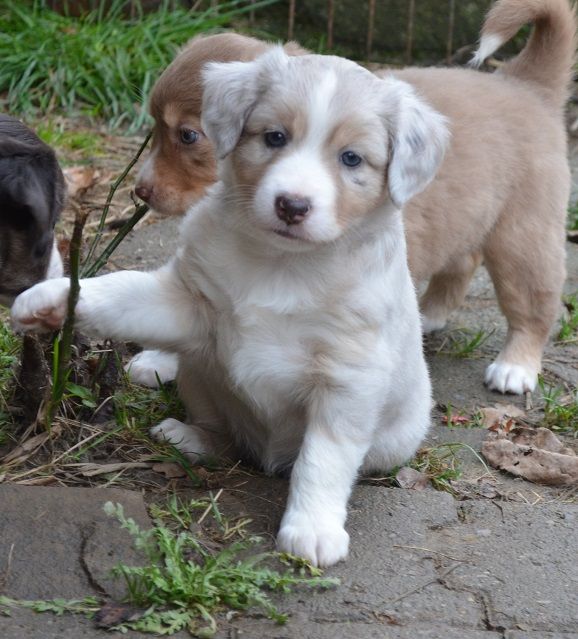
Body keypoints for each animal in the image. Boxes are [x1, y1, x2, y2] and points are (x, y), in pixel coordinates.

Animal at [11, 51, 448, 568]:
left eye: (351, 158)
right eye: (274, 137)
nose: (292, 205)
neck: (283, 265)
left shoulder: (349, 377)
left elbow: (323, 458)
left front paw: (312, 527)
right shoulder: (185, 302)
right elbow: (120, 291)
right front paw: (50, 299)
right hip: (201, 375)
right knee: (225, 433)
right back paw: (192, 437)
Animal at [134, 1, 572, 396]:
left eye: (188, 135)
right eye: (153, 127)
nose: (139, 190)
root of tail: (522, 81)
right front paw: (160, 358)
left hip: (523, 238)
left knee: (535, 305)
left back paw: (515, 367)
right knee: (463, 261)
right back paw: (429, 314)